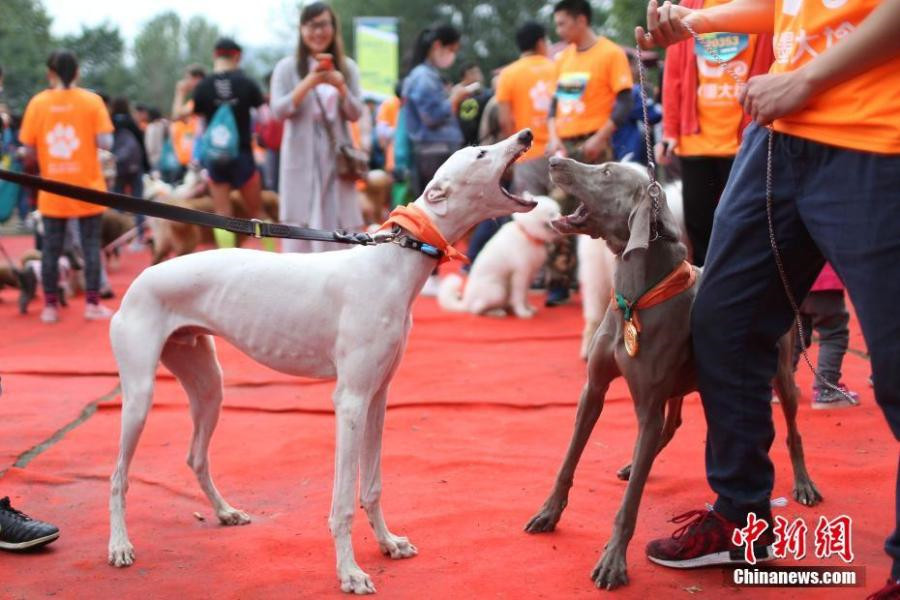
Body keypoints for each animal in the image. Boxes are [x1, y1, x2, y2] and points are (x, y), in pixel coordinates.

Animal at [109, 129, 536, 592]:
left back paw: (224, 512)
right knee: (118, 476)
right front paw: (349, 572)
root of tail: (139, 280)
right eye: (479, 153)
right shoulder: (349, 401)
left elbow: (372, 486)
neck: (392, 261)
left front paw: (388, 543)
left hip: (208, 386)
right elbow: (344, 501)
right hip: (139, 396)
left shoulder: (377, 397)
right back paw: (120, 545)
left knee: (196, 456)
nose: (526, 134)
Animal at [520, 157, 824, 588]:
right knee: (671, 425)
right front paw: (548, 513)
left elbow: (629, 503)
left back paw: (804, 484)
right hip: (683, 383)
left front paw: (614, 561)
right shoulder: (593, 390)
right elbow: (568, 460)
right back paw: (634, 464)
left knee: (792, 431)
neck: (637, 298)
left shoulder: (647, 406)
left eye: (607, 173)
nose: (554, 160)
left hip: (780, 375)